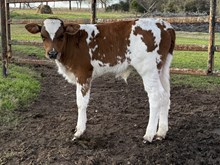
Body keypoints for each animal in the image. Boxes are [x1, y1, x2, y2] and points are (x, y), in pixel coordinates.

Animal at [25, 17, 175, 142]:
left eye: (61, 35)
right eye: (42, 36)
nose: (52, 53)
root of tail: (163, 24)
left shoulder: (83, 74)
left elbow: (81, 103)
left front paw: (79, 131)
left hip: (148, 69)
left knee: (156, 96)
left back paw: (149, 135)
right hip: (162, 68)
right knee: (165, 95)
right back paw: (161, 132)